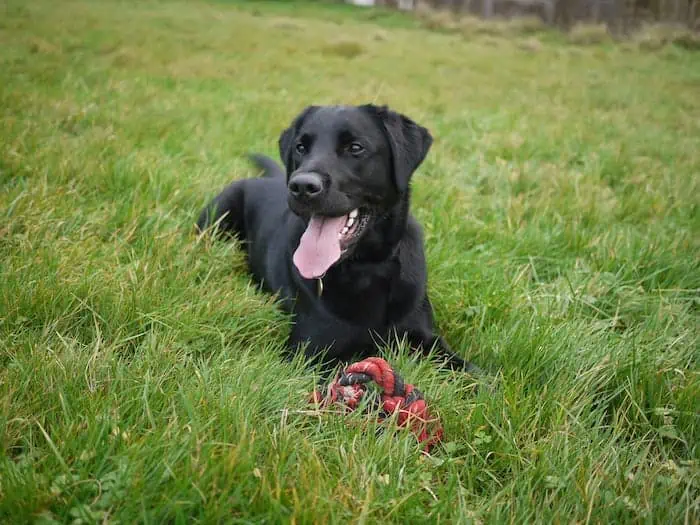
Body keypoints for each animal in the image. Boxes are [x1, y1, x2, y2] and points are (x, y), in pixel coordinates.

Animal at [197, 103, 478, 372]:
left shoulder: (426, 337)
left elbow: (473, 373)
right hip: (219, 212)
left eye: (355, 148)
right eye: (301, 147)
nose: (301, 186)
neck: (368, 268)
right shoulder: (307, 354)